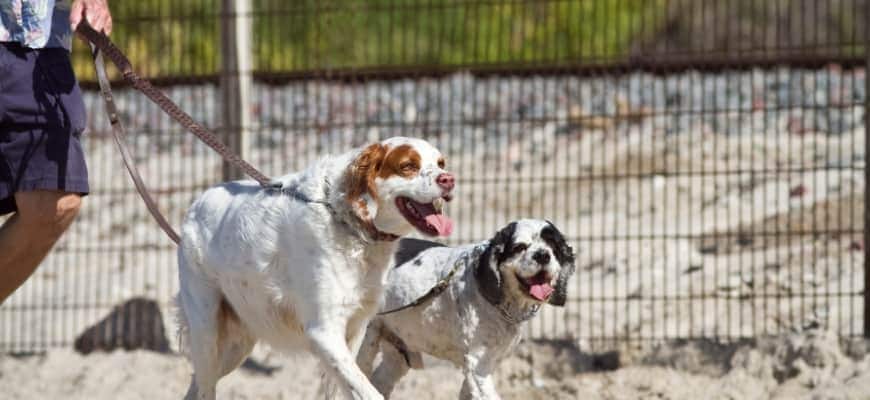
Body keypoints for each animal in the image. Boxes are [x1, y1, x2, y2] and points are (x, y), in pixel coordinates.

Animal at [175, 138, 456, 400]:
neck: (346, 221)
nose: (449, 179)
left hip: (237, 343)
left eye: (441, 163)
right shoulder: (324, 332)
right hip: (207, 332)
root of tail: (198, 202)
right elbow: (369, 392)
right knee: (205, 387)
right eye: (408, 166)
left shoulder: (354, 330)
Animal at [358, 220, 576, 398]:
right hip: (365, 345)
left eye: (553, 246)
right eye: (520, 247)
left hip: (396, 354)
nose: (542, 255)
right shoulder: (478, 364)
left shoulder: (481, 365)